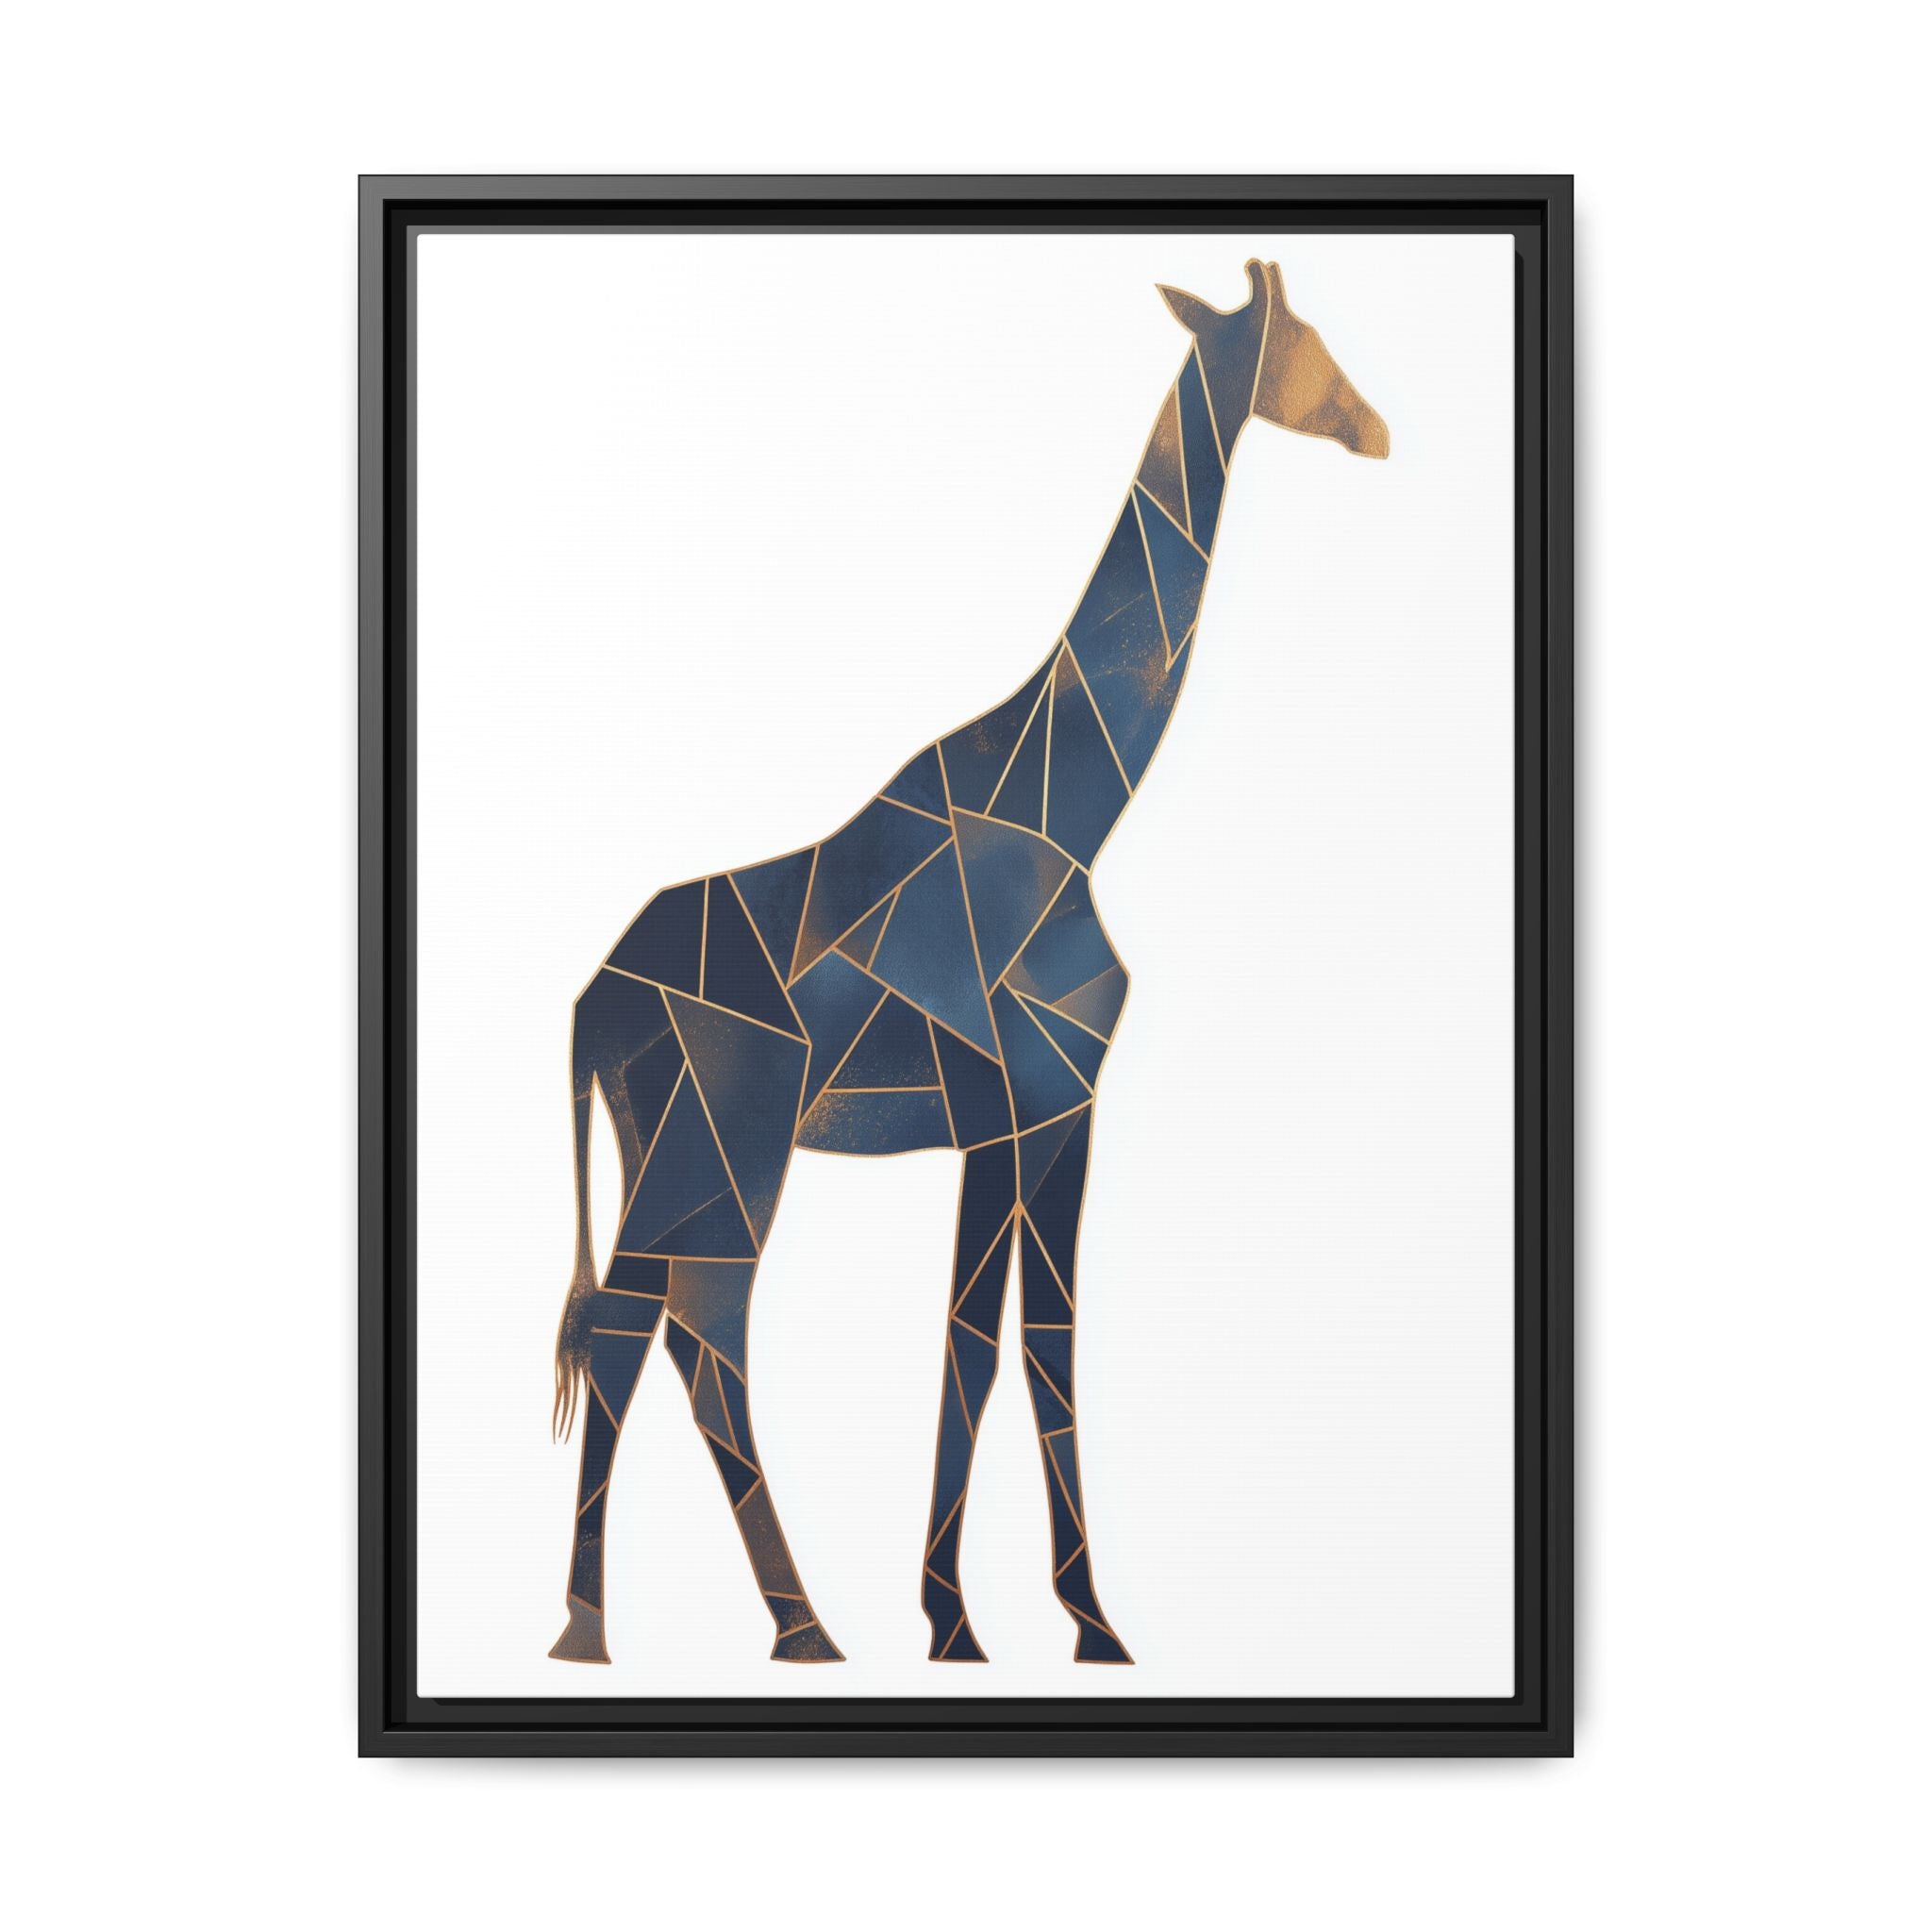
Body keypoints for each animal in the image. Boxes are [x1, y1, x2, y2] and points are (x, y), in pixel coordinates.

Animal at [546, 258, 1389, 1668]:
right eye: (1306, 340)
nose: (1377, 429)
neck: (1077, 807)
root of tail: (591, 1002)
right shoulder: (1033, 1102)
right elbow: (1006, 1346)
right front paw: (1014, 1623)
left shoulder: (1032, 1115)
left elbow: (1005, 1343)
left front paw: (1026, 1617)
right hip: (727, 1143)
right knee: (682, 1328)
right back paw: (681, 1629)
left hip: (665, 1147)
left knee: (655, 1328)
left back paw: (704, 1622)